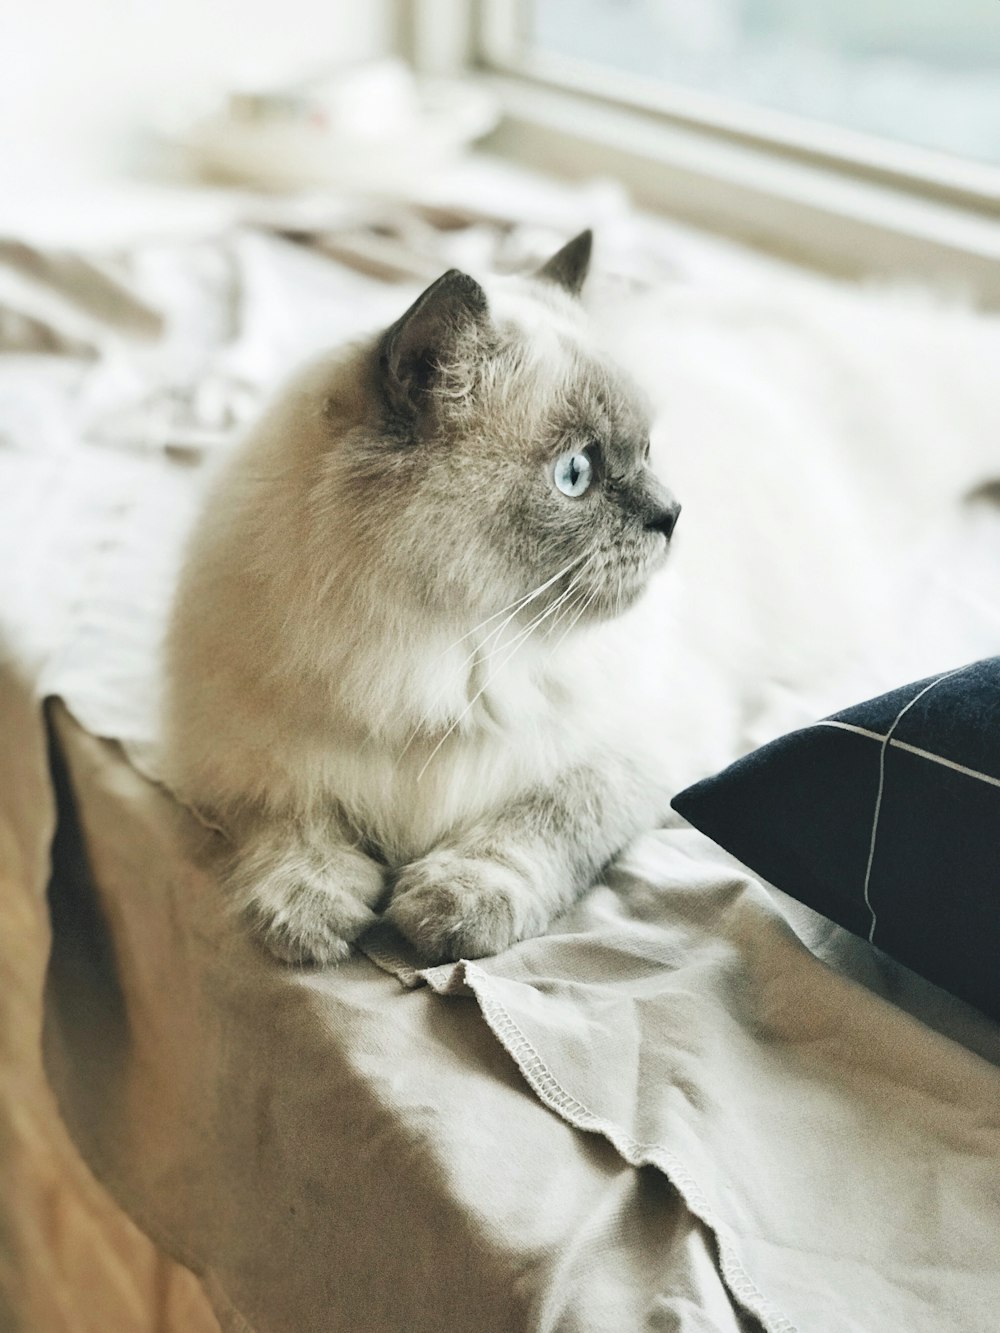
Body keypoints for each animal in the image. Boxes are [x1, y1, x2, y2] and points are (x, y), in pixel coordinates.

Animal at [164, 234, 688, 965]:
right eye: (575, 473)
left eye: (647, 451)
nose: (673, 515)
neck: (436, 656)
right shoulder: (249, 760)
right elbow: (295, 823)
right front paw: (309, 914)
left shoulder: (622, 757)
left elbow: (537, 822)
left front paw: (448, 910)